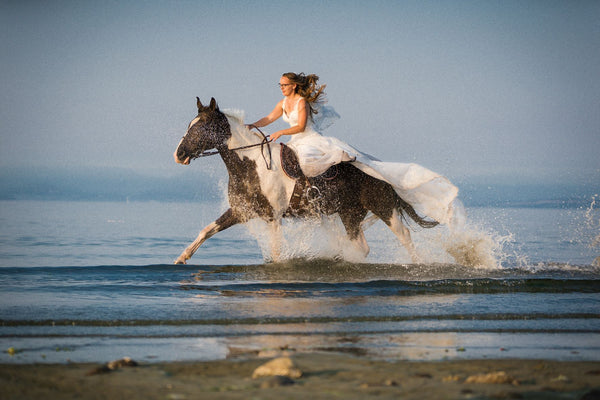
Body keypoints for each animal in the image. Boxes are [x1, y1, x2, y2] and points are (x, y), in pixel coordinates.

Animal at [171, 97, 438, 264]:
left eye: (202, 127)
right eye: (190, 125)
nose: (179, 154)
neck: (251, 165)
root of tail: (379, 169)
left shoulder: (273, 217)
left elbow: (276, 254)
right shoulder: (241, 210)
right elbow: (206, 230)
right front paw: (181, 258)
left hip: (383, 207)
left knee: (405, 236)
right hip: (350, 213)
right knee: (360, 247)